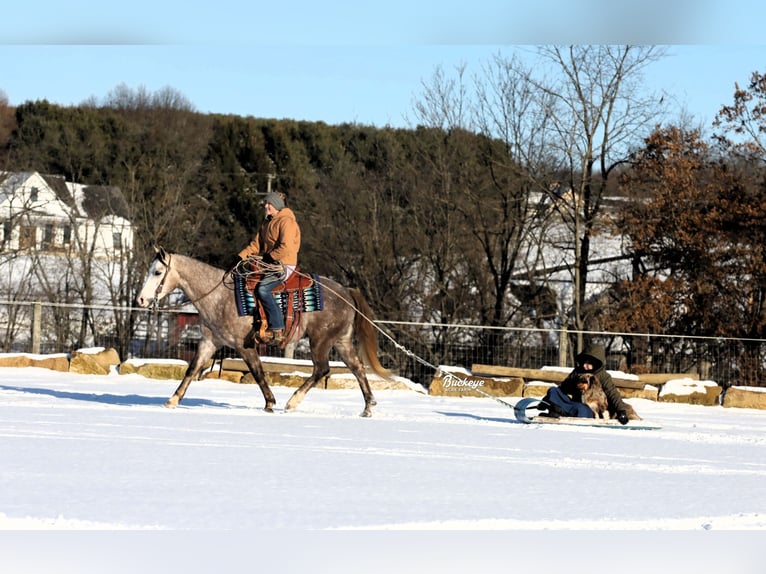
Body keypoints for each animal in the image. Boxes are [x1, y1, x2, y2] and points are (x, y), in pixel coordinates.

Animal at [135, 248, 390, 418]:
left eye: (157, 272)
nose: (140, 300)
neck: (218, 296)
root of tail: (346, 292)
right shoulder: (210, 341)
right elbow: (192, 369)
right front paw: (172, 399)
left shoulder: (244, 345)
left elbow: (258, 372)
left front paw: (269, 403)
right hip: (341, 341)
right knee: (357, 368)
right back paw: (368, 407)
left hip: (321, 340)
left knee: (322, 369)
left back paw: (292, 402)